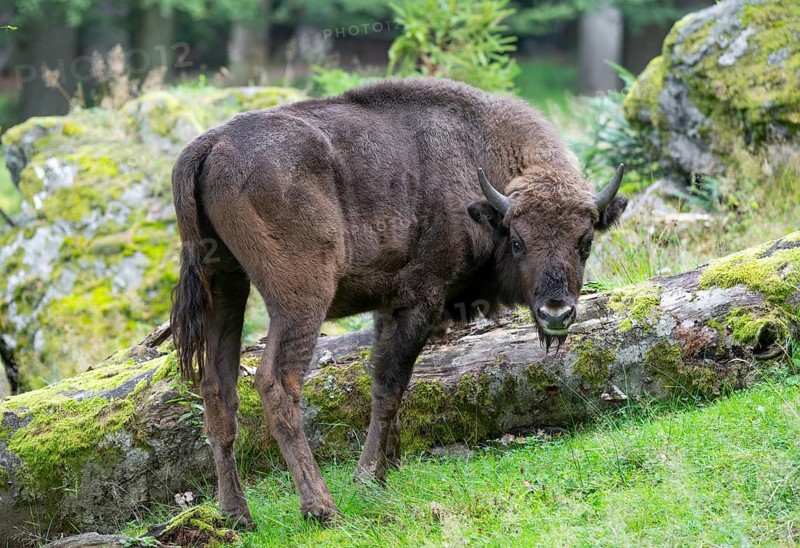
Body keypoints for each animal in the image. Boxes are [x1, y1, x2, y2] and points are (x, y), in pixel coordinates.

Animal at [170, 78, 628, 526]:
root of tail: (211, 144)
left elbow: (385, 381)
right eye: (517, 241)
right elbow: (391, 383)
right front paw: (368, 477)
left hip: (225, 286)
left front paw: (387, 469)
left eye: (585, 243)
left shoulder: (386, 306)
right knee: (276, 382)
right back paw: (322, 508)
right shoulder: (418, 299)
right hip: (299, 299)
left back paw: (236, 515)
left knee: (217, 387)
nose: (556, 313)